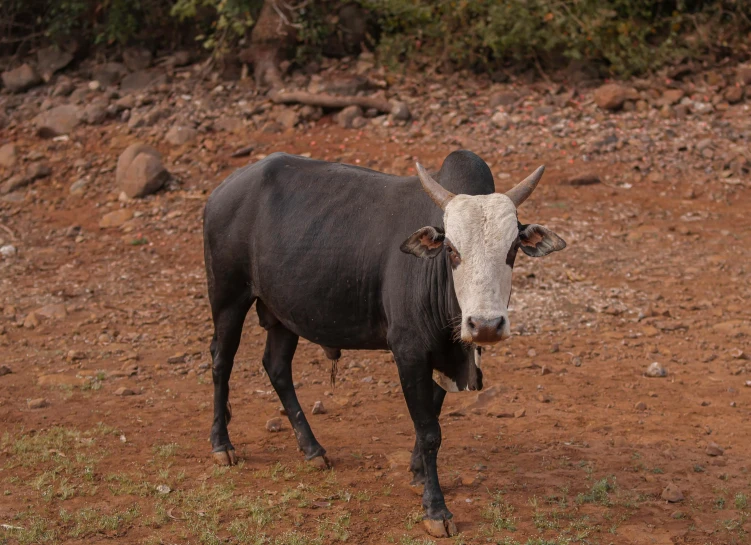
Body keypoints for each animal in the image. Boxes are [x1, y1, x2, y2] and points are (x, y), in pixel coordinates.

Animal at [203, 150, 568, 536]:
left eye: (512, 249)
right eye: (451, 250)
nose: (485, 325)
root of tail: (223, 190)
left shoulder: (441, 356)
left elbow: (432, 416)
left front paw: (418, 472)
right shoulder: (409, 353)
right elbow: (429, 431)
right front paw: (436, 509)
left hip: (284, 313)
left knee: (276, 367)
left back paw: (312, 449)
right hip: (228, 297)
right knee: (221, 361)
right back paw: (222, 444)